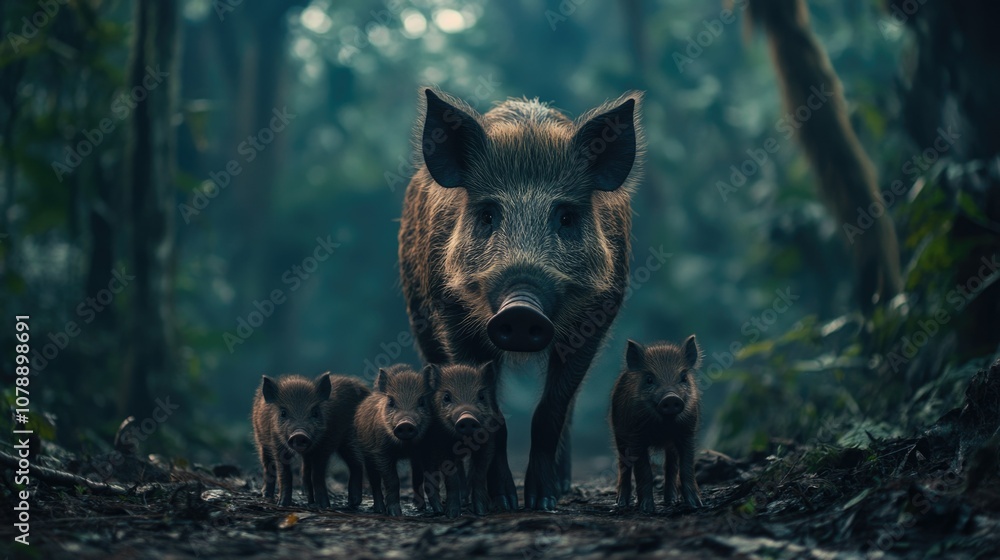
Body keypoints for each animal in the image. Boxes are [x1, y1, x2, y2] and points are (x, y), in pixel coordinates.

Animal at [252, 372, 370, 509]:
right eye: (283, 413)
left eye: (315, 412)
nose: (299, 434)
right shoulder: (276, 443)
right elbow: (285, 473)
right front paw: (282, 504)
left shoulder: (325, 445)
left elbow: (317, 474)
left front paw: (324, 506)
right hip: (261, 440)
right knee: (268, 466)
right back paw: (267, 495)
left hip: (350, 438)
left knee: (356, 463)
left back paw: (352, 502)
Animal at [352, 364, 434, 516]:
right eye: (391, 401)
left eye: (422, 401)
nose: (405, 423)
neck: (404, 448)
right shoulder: (381, 452)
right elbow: (393, 480)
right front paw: (395, 513)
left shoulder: (420, 452)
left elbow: (418, 478)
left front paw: (421, 508)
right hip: (366, 454)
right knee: (374, 481)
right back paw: (379, 509)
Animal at [421, 362, 502, 517]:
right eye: (446, 397)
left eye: (481, 396)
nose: (467, 418)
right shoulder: (442, 447)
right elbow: (451, 480)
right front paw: (452, 515)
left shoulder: (488, 444)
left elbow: (479, 475)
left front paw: (481, 513)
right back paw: (440, 509)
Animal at [610, 336, 703, 513]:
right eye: (649, 379)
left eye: (683, 377)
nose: (671, 397)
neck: (663, 428)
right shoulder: (636, 438)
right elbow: (644, 471)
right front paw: (647, 509)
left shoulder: (687, 433)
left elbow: (686, 467)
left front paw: (697, 505)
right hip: (619, 435)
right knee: (623, 465)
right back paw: (621, 503)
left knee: (671, 465)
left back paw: (671, 501)